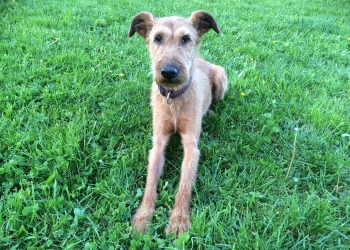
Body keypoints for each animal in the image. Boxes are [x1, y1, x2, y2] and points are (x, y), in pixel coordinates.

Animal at [129, 10, 227, 236]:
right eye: (157, 38)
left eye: (186, 39)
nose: (168, 72)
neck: (173, 99)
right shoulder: (158, 142)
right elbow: (150, 181)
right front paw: (143, 216)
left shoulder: (191, 144)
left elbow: (185, 183)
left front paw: (179, 220)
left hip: (221, 77)